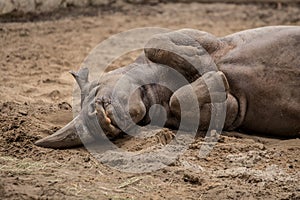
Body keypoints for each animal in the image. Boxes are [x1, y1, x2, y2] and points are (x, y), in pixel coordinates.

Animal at [35, 25, 300, 148]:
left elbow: (155, 41)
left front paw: (204, 65)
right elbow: (183, 101)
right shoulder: (232, 111)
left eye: (98, 94)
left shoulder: (208, 38)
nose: (98, 121)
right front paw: (217, 79)